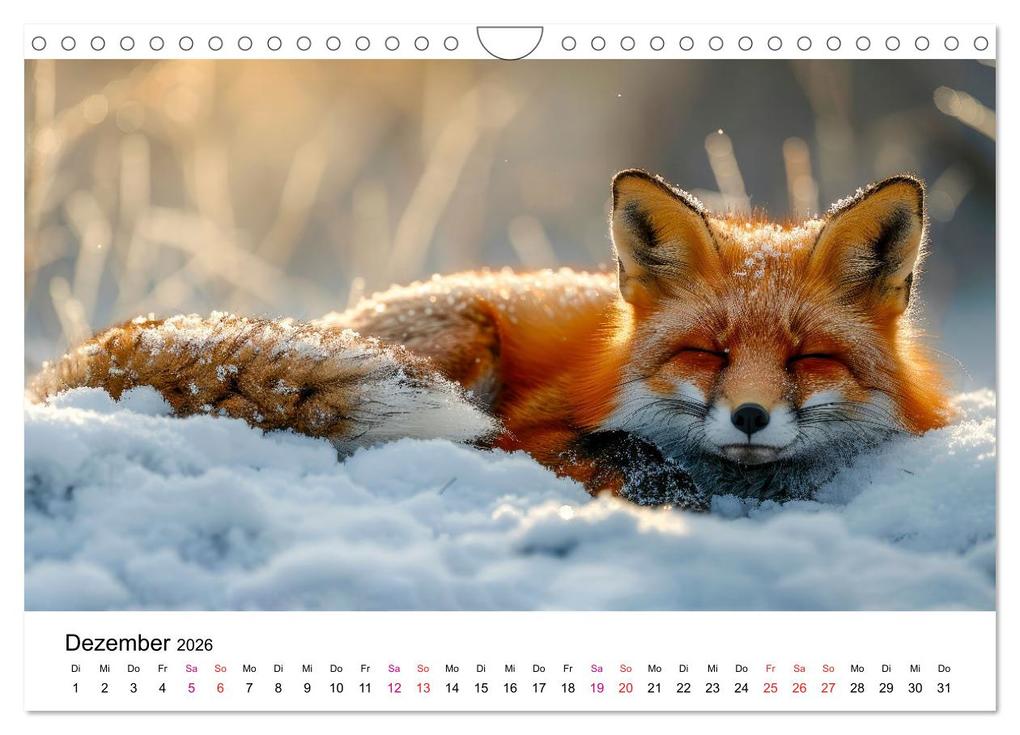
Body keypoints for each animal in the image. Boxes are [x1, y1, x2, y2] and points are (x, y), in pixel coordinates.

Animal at [29, 170, 951, 508]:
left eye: (810, 359)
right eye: (708, 353)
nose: (751, 416)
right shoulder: (534, 421)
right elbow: (589, 446)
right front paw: (650, 478)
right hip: (463, 340)